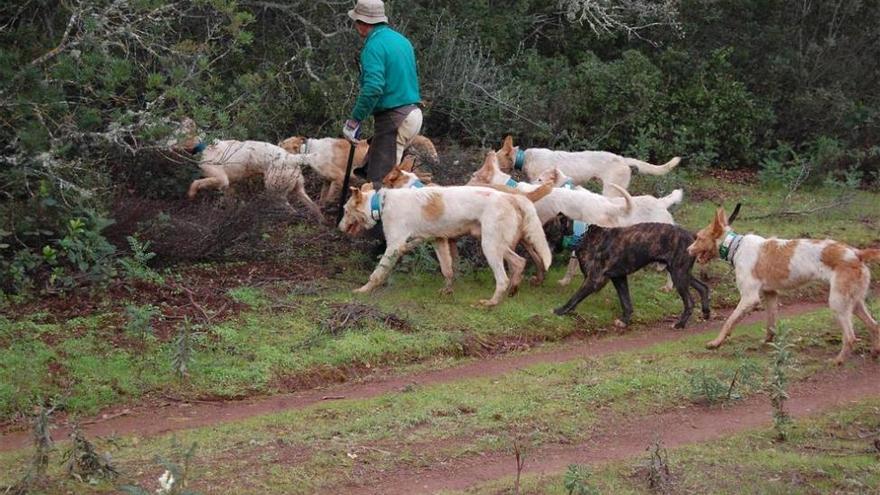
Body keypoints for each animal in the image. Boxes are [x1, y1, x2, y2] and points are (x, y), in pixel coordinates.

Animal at [168, 118, 324, 221]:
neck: (205, 146)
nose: (164, 143)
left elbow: (196, 182)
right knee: (314, 207)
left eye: (176, 135)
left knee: (291, 210)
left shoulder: (221, 180)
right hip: (298, 189)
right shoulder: (228, 186)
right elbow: (230, 203)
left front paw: (191, 193)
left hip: (275, 190)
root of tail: (291, 158)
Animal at [280, 134, 438, 205]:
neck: (308, 150)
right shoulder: (327, 180)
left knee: (428, 179)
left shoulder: (339, 178)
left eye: (282, 148)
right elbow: (323, 196)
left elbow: (329, 197)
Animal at [556, 223, 716, 328]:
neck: (583, 237)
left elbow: (574, 297)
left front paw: (561, 311)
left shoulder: (594, 279)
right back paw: (706, 312)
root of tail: (692, 236)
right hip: (682, 273)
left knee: (689, 302)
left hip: (679, 275)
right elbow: (626, 302)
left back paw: (681, 324)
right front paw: (625, 321)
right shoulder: (619, 278)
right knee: (703, 287)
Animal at [688, 205, 880, 364]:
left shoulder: (750, 298)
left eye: (699, 238)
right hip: (853, 302)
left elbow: (729, 321)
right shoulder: (771, 294)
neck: (736, 246)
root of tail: (856, 253)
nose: (688, 250)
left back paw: (838, 361)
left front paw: (716, 343)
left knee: (850, 337)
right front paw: (767, 343)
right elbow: (771, 325)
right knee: (874, 325)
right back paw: (874, 352)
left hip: (838, 302)